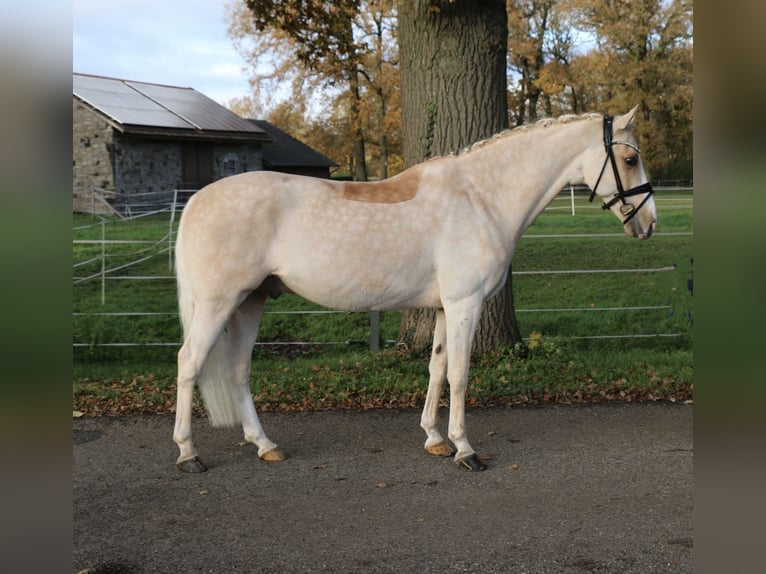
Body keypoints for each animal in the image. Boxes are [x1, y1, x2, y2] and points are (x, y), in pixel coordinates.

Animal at [171, 106, 656, 474]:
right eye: (630, 160)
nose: (649, 224)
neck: (481, 197)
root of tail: (197, 200)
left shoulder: (443, 308)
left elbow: (436, 370)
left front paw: (435, 439)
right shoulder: (465, 304)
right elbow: (460, 375)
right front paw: (466, 450)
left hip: (249, 302)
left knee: (237, 370)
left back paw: (265, 445)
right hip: (218, 303)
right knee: (189, 363)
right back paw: (189, 454)